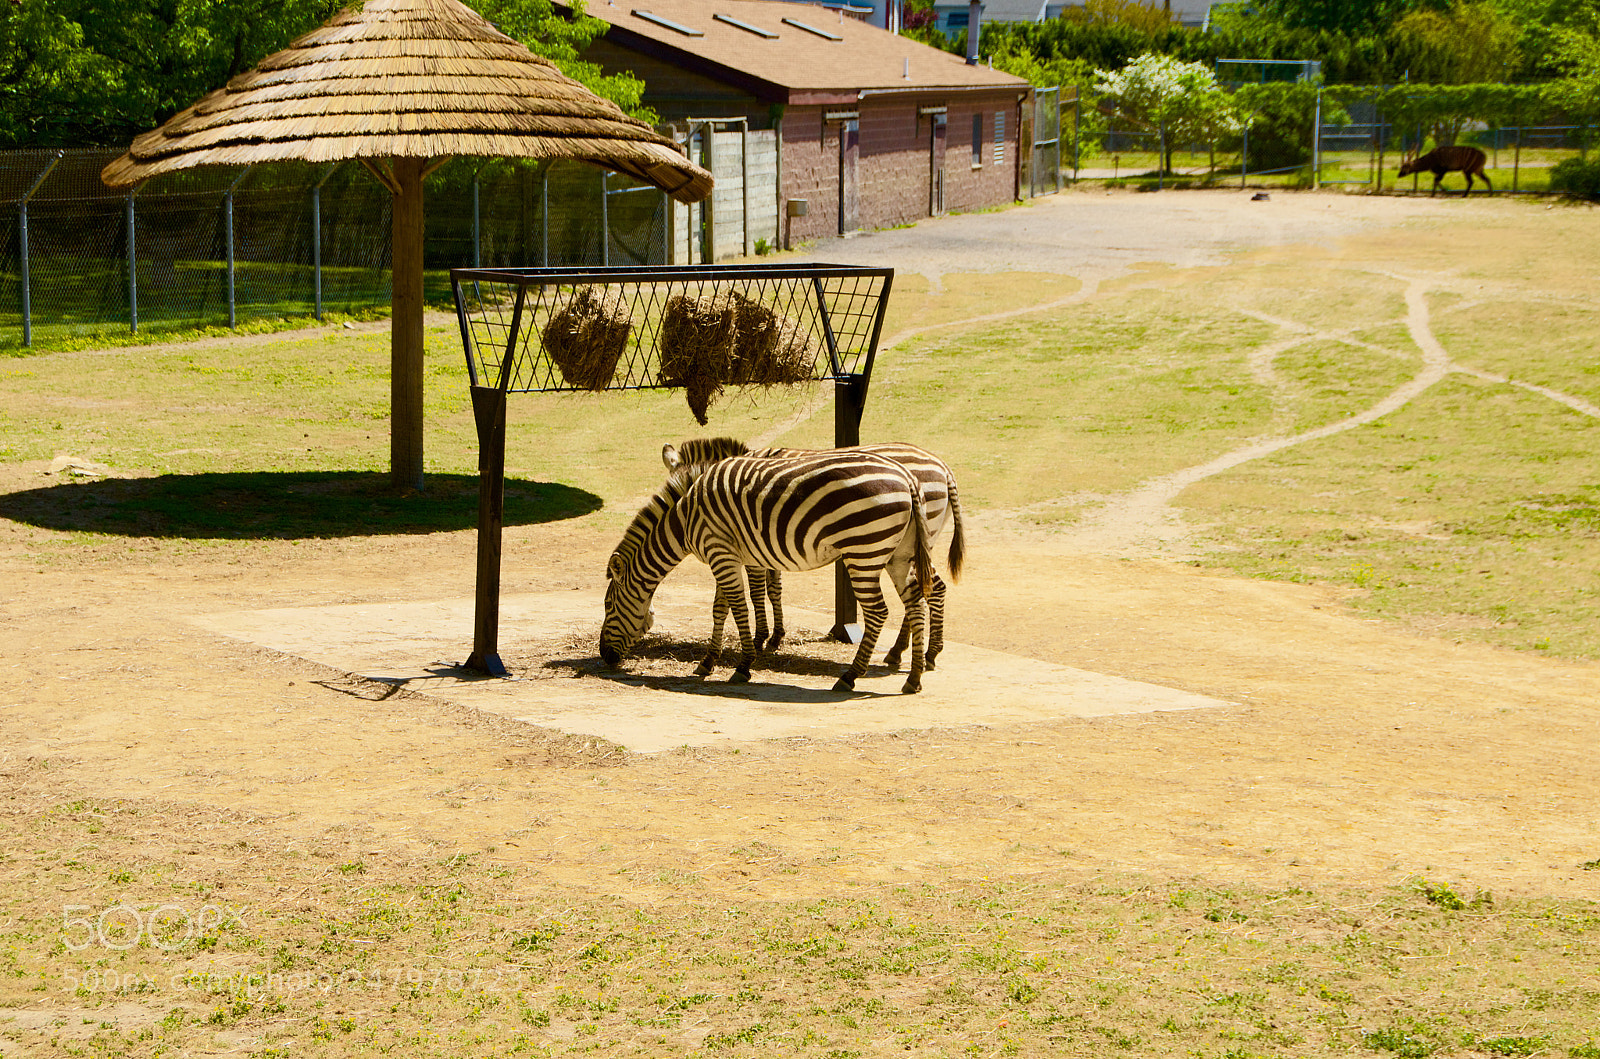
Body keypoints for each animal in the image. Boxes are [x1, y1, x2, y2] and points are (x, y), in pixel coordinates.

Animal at [601, 450, 935, 693]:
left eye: (608, 605)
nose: (604, 656)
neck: (684, 519)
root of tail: (906, 476)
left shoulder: (719, 551)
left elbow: (738, 608)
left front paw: (743, 665)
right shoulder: (726, 554)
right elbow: (719, 609)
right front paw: (708, 662)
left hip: (864, 552)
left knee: (879, 612)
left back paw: (849, 677)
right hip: (898, 556)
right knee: (916, 603)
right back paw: (914, 678)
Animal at [661, 437, 965, 676]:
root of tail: (943, 466)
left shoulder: (755, 544)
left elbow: (760, 591)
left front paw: (762, 638)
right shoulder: (767, 543)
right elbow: (773, 589)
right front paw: (774, 637)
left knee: (926, 590)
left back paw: (917, 654)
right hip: (912, 545)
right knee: (929, 588)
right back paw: (909, 653)